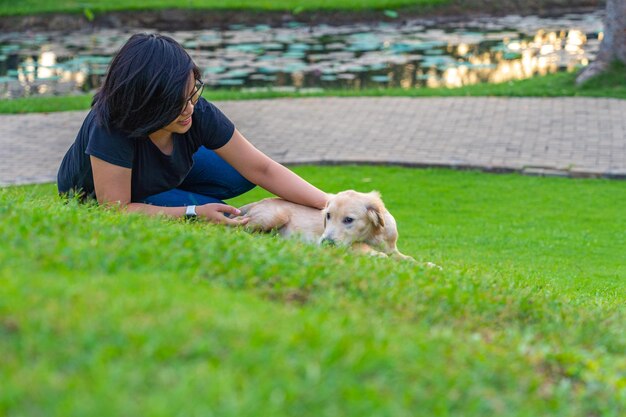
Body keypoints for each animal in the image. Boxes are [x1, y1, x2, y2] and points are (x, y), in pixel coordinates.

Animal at [239, 191, 414, 260]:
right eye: (328, 216)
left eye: (348, 220)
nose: (325, 243)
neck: (373, 235)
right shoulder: (349, 246)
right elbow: (364, 248)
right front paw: (376, 255)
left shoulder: (392, 249)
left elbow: (408, 258)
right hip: (274, 216)